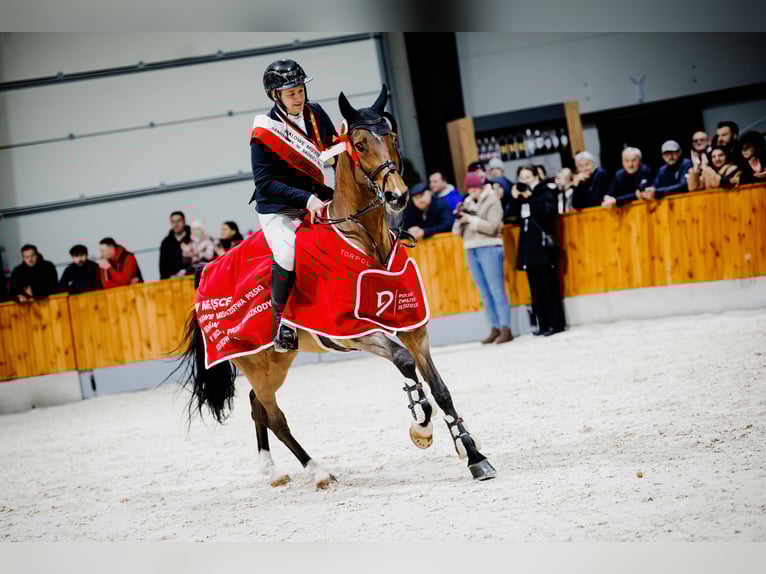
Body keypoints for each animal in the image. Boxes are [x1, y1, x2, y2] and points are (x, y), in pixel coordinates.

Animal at [175, 85, 497, 488]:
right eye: (359, 144)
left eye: (392, 138)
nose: (397, 196)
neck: (368, 242)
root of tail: (204, 270)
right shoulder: (354, 330)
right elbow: (404, 363)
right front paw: (421, 426)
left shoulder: (413, 327)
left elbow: (441, 390)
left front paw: (474, 456)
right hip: (255, 361)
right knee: (273, 414)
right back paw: (318, 471)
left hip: (275, 361)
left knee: (257, 406)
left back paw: (273, 471)